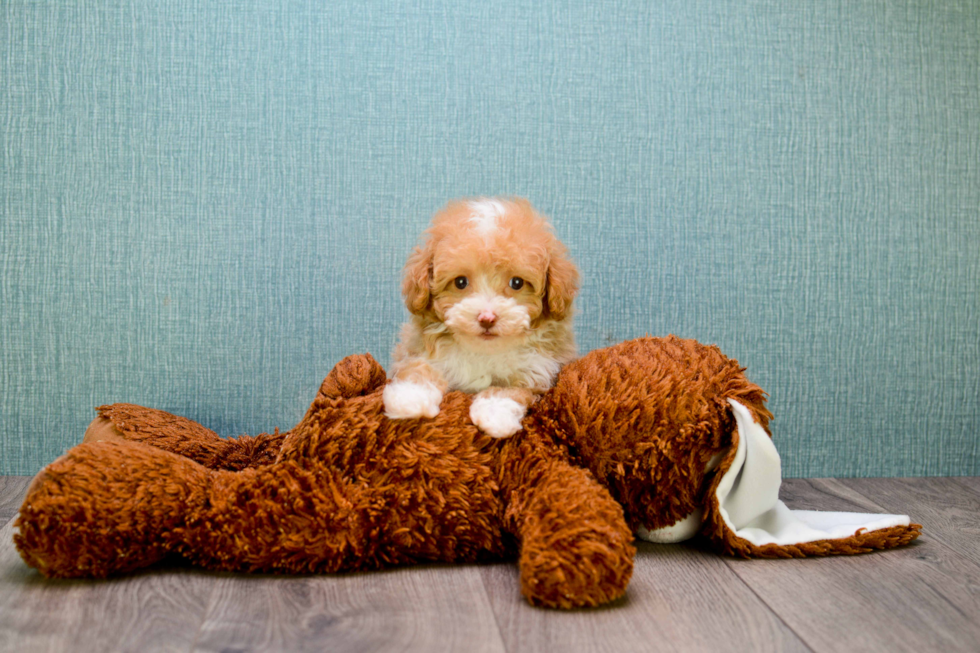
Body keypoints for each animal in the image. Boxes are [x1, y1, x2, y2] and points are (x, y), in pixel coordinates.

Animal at [382, 197, 580, 438]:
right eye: (460, 282)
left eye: (517, 283)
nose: (487, 318)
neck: (484, 351)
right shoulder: (418, 350)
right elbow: (417, 368)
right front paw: (410, 396)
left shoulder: (539, 371)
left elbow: (512, 388)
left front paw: (495, 412)